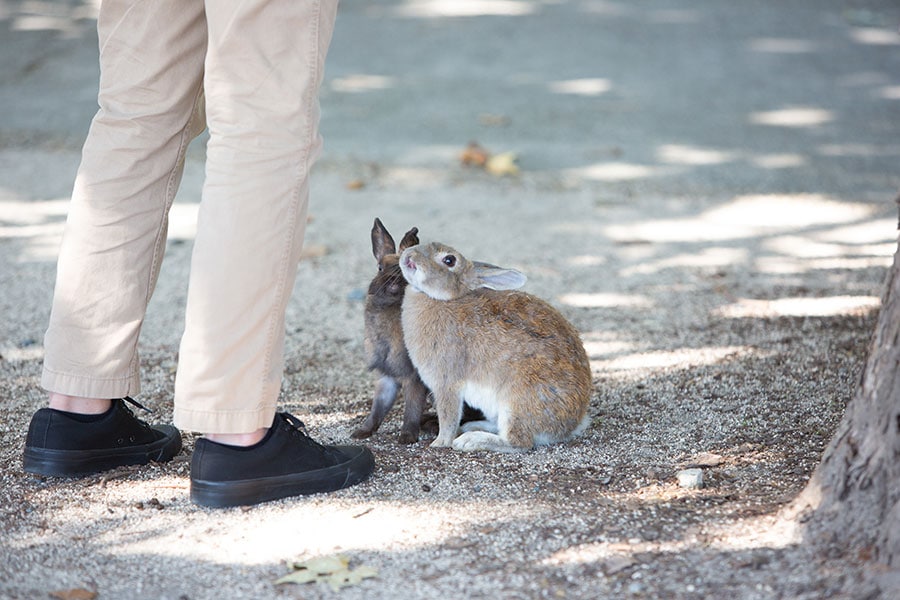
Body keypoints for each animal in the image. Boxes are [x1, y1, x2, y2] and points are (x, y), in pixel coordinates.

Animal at [400, 241, 596, 452]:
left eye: (449, 260)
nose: (408, 255)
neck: (442, 300)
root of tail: (572, 425)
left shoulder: (446, 382)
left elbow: (448, 415)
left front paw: (440, 443)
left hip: (516, 402)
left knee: (519, 442)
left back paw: (470, 440)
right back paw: (472, 427)